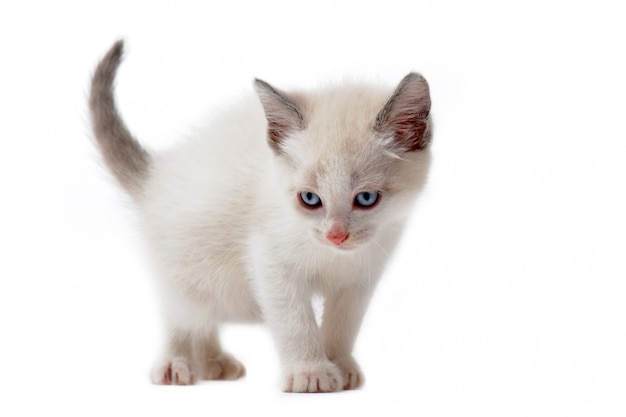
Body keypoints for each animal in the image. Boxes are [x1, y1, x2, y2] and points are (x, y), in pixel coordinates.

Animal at [89, 40, 428, 392]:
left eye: (366, 198)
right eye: (310, 199)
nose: (336, 235)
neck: (332, 256)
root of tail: (155, 175)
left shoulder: (360, 277)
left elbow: (343, 324)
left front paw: (340, 364)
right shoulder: (272, 264)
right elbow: (296, 322)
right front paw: (311, 373)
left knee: (203, 319)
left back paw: (213, 363)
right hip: (183, 268)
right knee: (181, 317)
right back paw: (175, 364)